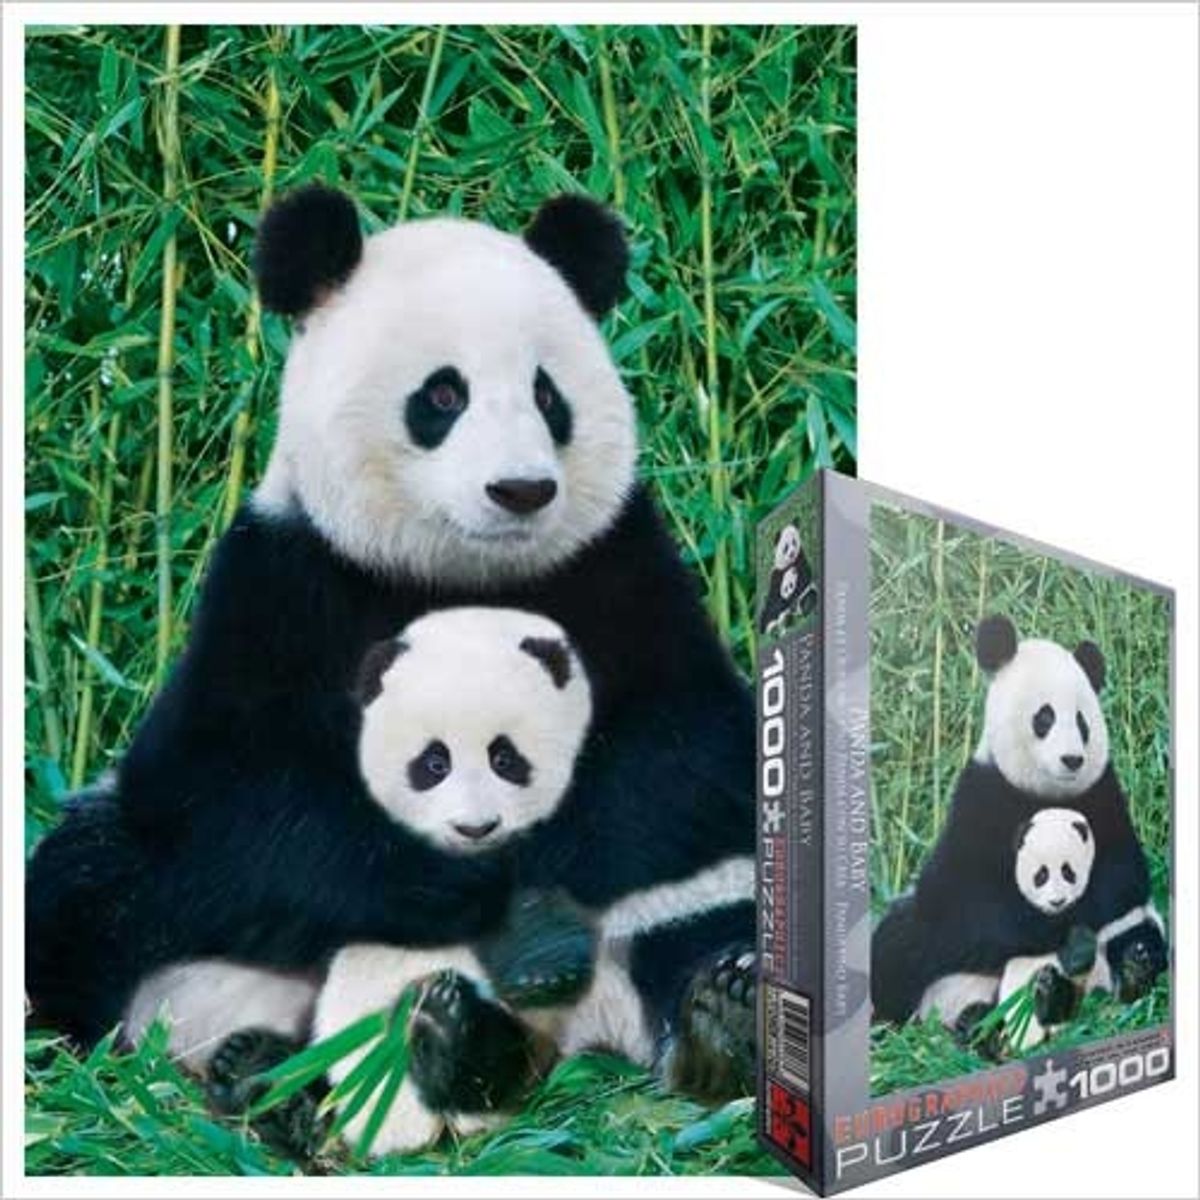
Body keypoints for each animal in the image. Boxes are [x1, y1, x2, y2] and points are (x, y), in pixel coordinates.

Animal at [26, 186, 756, 1111]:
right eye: (442, 396)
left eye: (548, 395)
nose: (522, 489)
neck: (456, 572)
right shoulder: (282, 581)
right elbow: (227, 788)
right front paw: (467, 880)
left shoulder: (620, 567)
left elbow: (686, 749)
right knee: (86, 891)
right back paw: (269, 1069)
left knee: (717, 903)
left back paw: (712, 1020)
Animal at [871, 615, 1167, 1032]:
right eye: (1045, 717)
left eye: (1082, 722)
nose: (1073, 759)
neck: (1044, 795)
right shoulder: (982, 800)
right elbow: (967, 898)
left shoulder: (1102, 797)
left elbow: (1122, 876)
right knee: (897, 945)